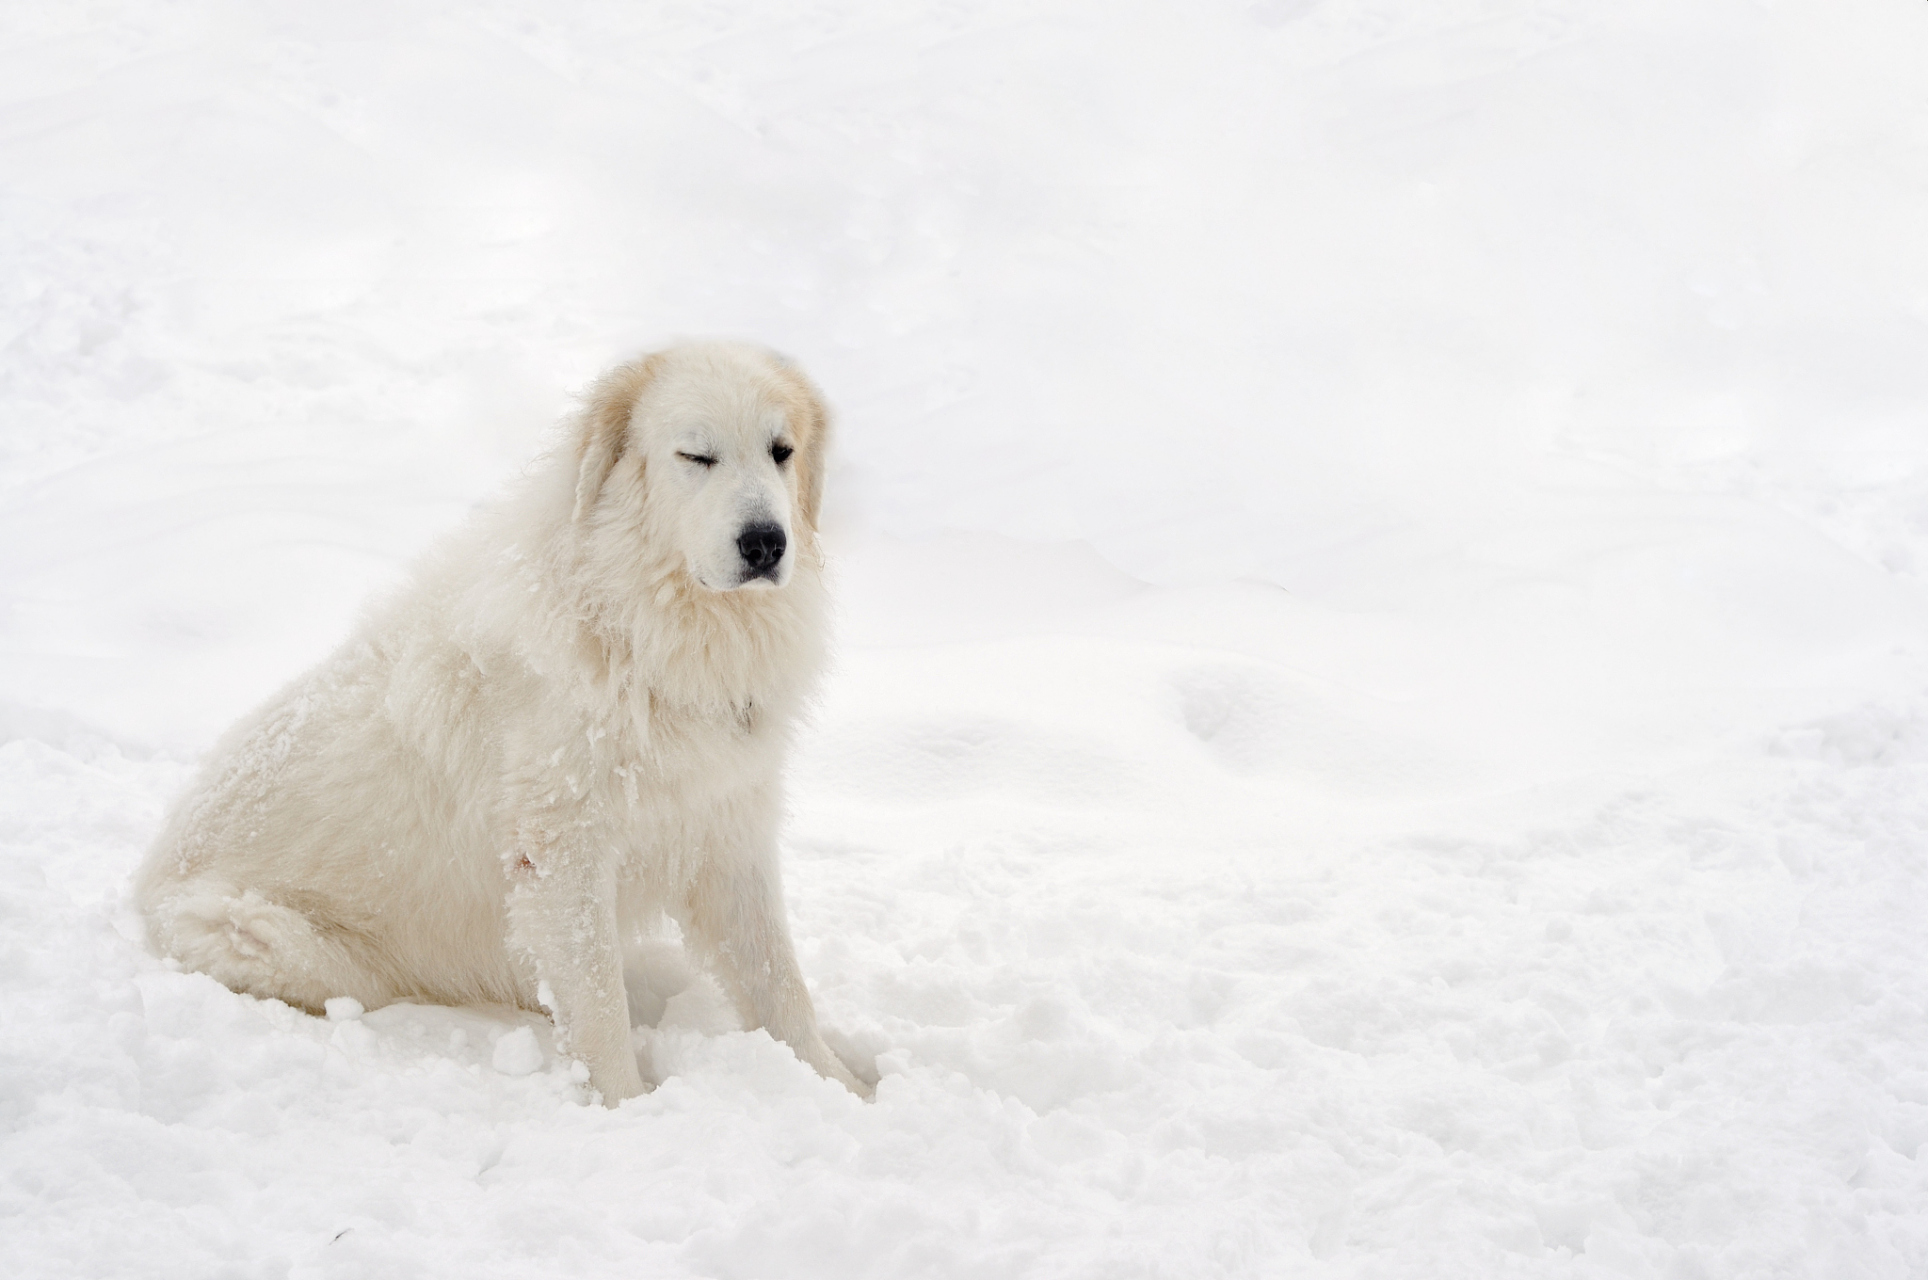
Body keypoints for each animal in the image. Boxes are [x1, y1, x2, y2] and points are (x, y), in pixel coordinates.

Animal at [142, 339, 875, 1102]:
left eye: (781, 451)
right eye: (696, 456)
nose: (765, 542)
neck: (642, 627)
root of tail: (148, 878)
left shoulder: (728, 826)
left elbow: (779, 983)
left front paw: (838, 1088)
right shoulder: (562, 854)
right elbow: (600, 1005)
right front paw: (628, 1107)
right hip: (267, 936)